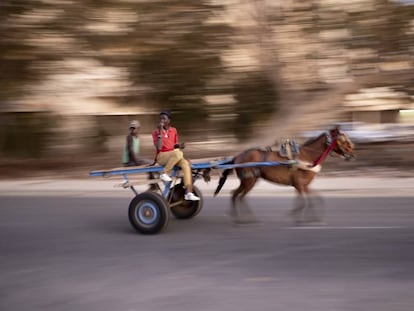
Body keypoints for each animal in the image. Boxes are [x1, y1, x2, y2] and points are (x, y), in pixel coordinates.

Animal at [215, 127, 354, 224]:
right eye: (344, 140)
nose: (352, 154)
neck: (307, 157)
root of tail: (237, 157)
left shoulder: (303, 185)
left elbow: (314, 200)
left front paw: (311, 218)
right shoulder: (299, 184)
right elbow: (305, 201)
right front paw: (299, 217)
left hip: (249, 181)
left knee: (237, 195)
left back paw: (242, 217)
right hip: (249, 181)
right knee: (238, 196)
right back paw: (242, 218)